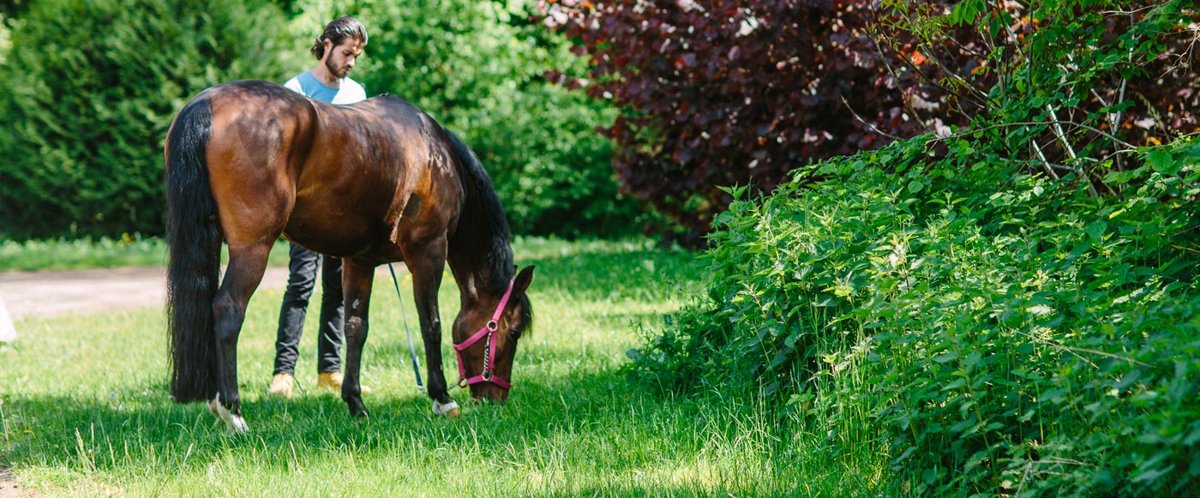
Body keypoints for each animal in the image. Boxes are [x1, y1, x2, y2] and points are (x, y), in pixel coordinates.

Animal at [163, 81, 535, 432]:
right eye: (514, 332)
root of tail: (206, 102)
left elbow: (355, 327)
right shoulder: (427, 252)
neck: (435, 152)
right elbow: (432, 324)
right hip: (253, 248)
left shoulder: (360, 261)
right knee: (228, 310)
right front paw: (442, 399)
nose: (495, 398)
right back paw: (233, 411)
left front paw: (355, 404)